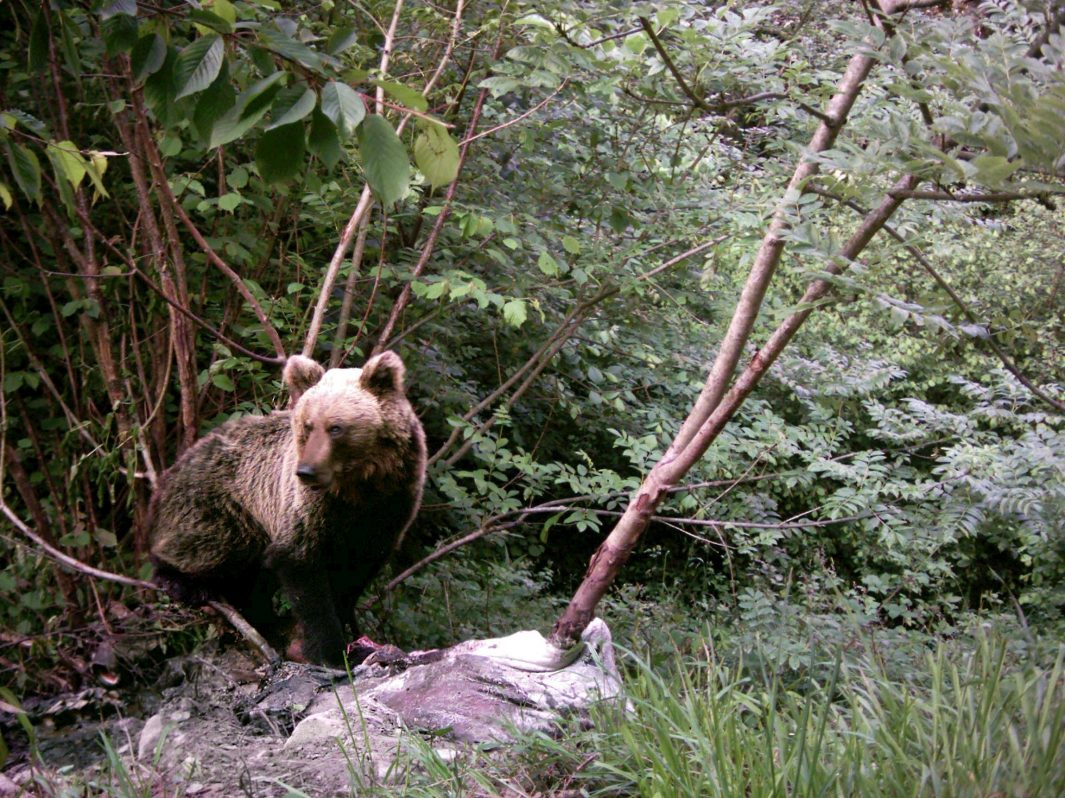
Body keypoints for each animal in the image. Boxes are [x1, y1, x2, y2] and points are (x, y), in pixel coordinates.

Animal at [148, 351, 426, 666]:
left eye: (336, 428)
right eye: (308, 425)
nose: (306, 471)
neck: (358, 486)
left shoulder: (390, 506)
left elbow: (354, 573)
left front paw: (351, 637)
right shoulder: (307, 508)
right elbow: (301, 565)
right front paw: (329, 650)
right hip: (221, 506)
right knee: (207, 545)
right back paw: (183, 583)